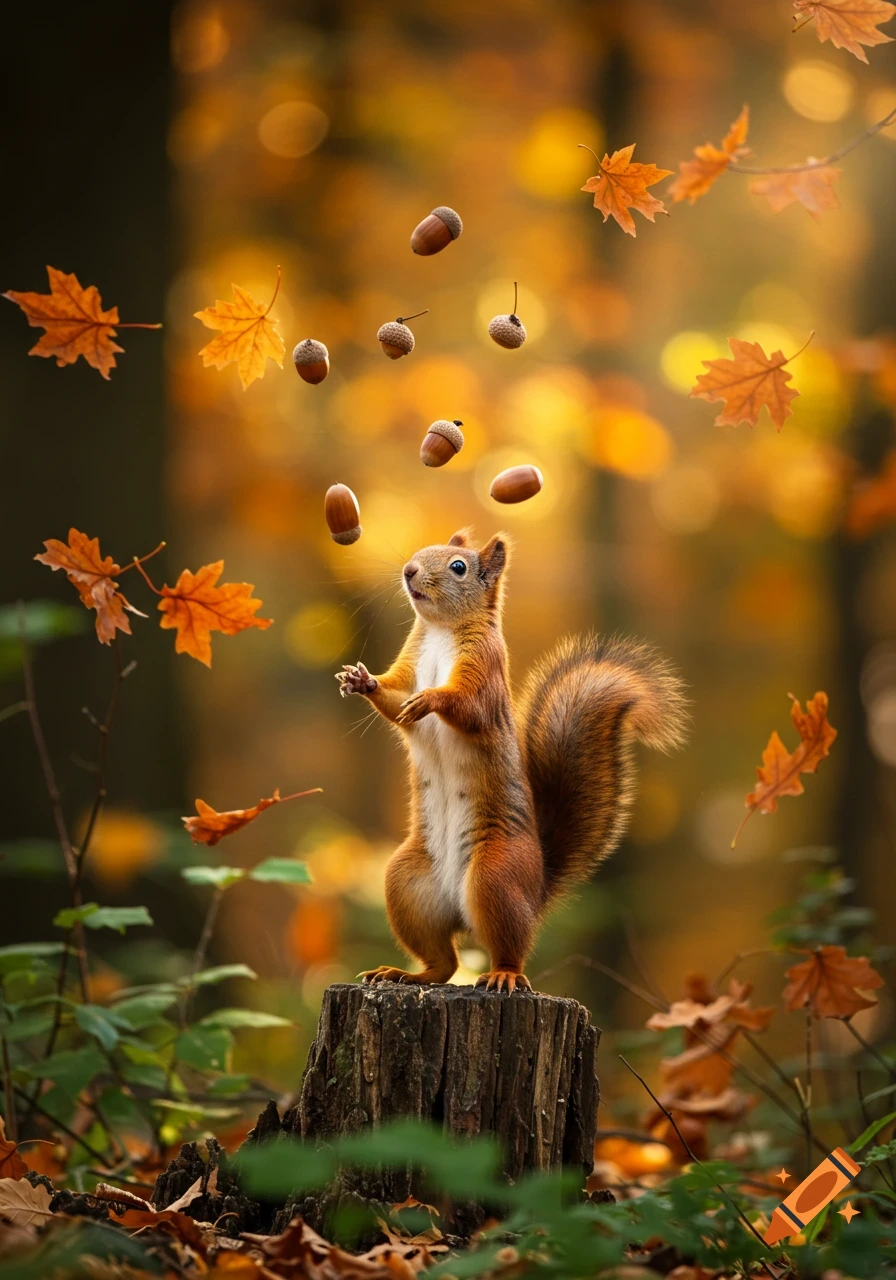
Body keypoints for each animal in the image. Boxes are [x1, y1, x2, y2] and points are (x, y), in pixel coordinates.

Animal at [336, 529, 688, 993]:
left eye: (459, 567)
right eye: (420, 553)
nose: (409, 570)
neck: (441, 632)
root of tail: (536, 890)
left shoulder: (485, 671)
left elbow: (468, 707)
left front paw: (432, 700)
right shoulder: (408, 668)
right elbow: (395, 700)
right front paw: (362, 681)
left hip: (495, 877)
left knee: (508, 948)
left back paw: (502, 974)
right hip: (407, 884)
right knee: (443, 963)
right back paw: (404, 973)